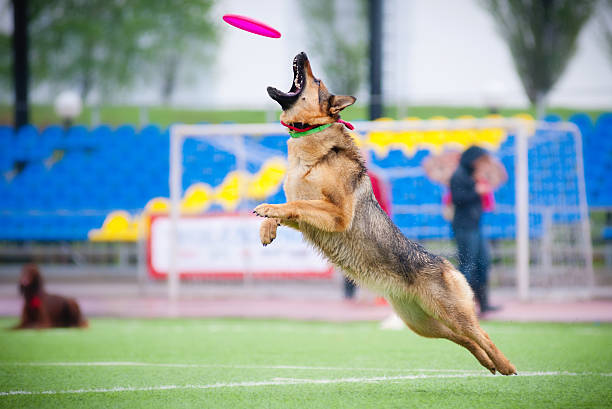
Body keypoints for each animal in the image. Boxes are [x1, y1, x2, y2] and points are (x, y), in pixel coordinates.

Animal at [255, 52, 516, 374]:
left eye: (316, 80)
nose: (302, 54)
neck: (311, 137)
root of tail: (446, 263)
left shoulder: (338, 214)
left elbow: (295, 205)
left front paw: (266, 210)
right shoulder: (308, 220)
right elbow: (289, 208)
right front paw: (267, 227)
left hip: (450, 313)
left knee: (482, 334)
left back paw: (506, 366)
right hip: (422, 324)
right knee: (466, 340)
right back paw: (489, 364)